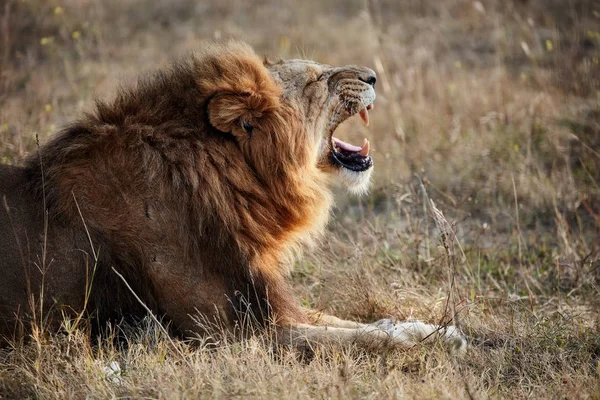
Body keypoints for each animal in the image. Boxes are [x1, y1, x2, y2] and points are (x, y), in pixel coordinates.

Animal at [0, 40, 464, 352]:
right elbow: (349, 339)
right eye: (316, 79)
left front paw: (431, 330)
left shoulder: (260, 297)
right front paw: (418, 343)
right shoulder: (224, 332)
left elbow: (351, 322)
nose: (372, 76)